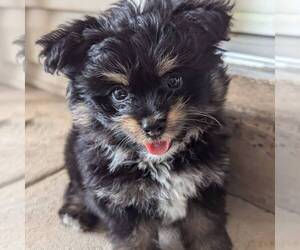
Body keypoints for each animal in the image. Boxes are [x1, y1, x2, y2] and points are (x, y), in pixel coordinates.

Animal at [37, 0, 233, 249]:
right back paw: (75, 211)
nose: (153, 125)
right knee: (77, 186)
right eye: (119, 94)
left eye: (173, 81)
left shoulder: (205, 183)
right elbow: (135, 238)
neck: (158, 162)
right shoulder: (121, 200)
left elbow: (205, 229)